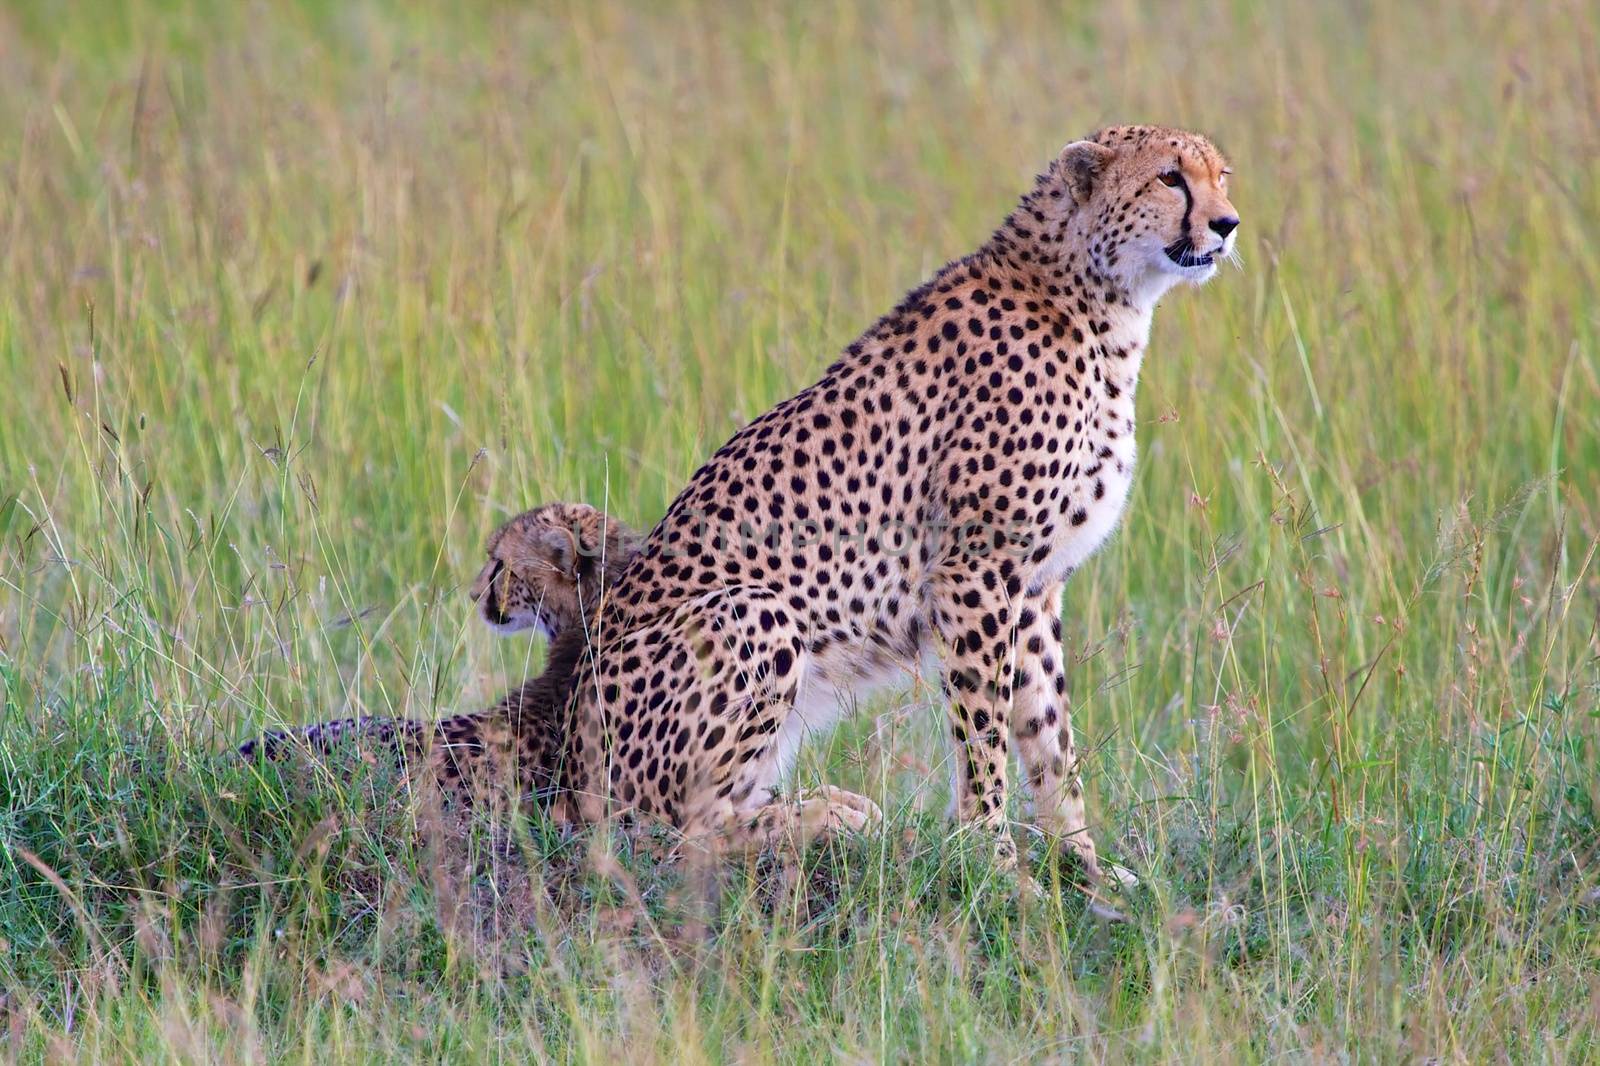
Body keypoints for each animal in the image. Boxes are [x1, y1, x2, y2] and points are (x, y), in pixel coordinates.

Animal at [556, 124, 1241, 877]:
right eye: (1170, 178)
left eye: (1222, 177)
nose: (1227, 224)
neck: (1098, 299)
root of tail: (565, 768)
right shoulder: (974, 572)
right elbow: (983, 733)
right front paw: (994, 862)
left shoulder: (1035, 588)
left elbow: (1049, 735)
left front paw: (1085, 862)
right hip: (755, 616)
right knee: (681, 835)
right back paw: (831, 819)